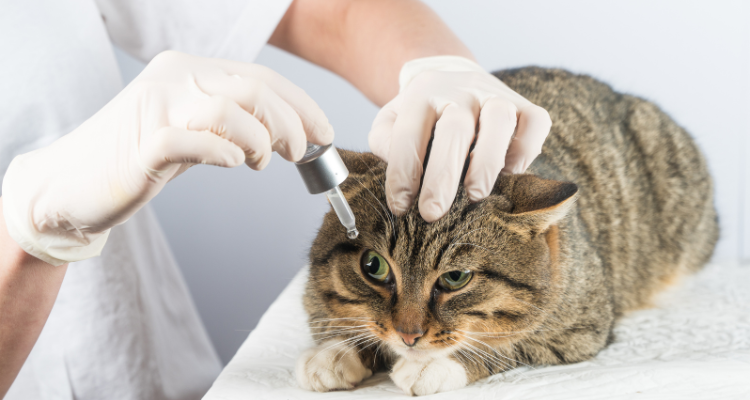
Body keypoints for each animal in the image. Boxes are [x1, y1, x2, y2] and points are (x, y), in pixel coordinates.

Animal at [294, 67, 716, 396]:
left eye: (456, 278)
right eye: (374, 267)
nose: (407, 335)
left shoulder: (581, 332)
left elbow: (506, 347)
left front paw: (437, 364)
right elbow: (334, 314)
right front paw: (336, 350)